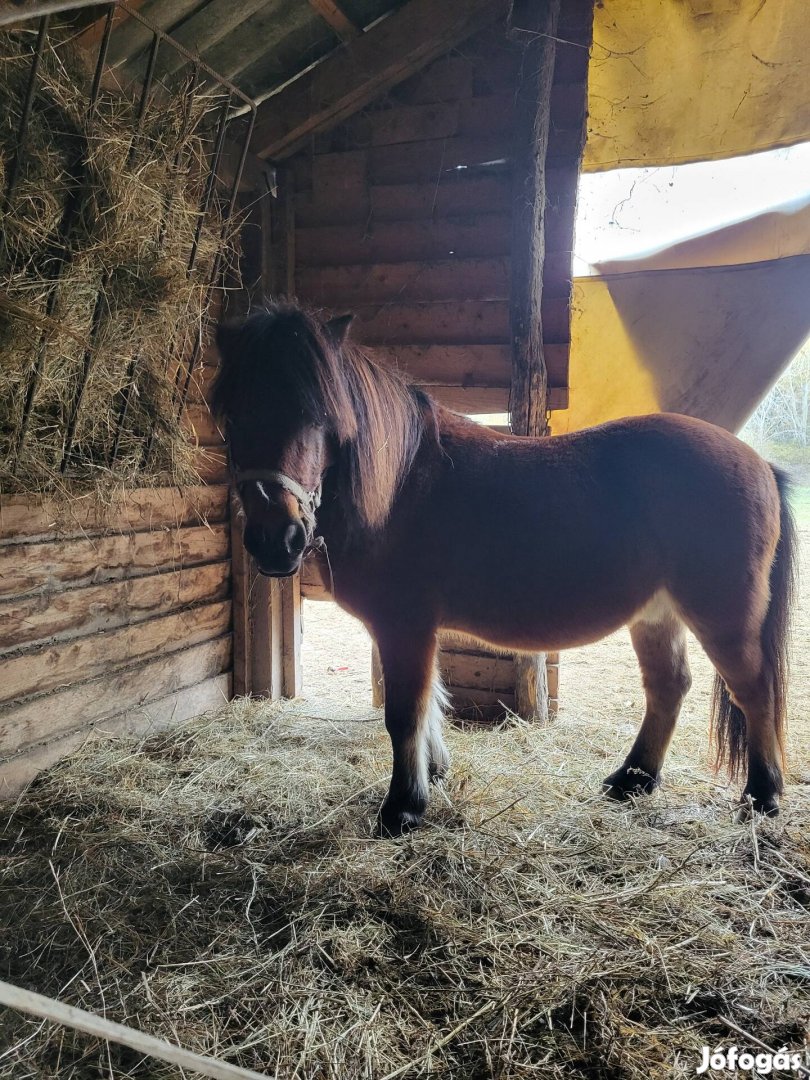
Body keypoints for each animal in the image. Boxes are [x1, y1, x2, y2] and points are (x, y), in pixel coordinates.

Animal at [210, 300, 799, 838]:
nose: (275, 541)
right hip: (656, 614)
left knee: (755, 690)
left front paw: (404, 807)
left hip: (723, 616)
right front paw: (433, 776)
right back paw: (632, 780)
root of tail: (761, 464)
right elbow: (429, 704)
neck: (400, 485)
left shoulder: (405, 626)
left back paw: (762, 795)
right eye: (233, 417)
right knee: (669, 686)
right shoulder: (405, 629)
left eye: (319, 418)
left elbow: (404, 713)